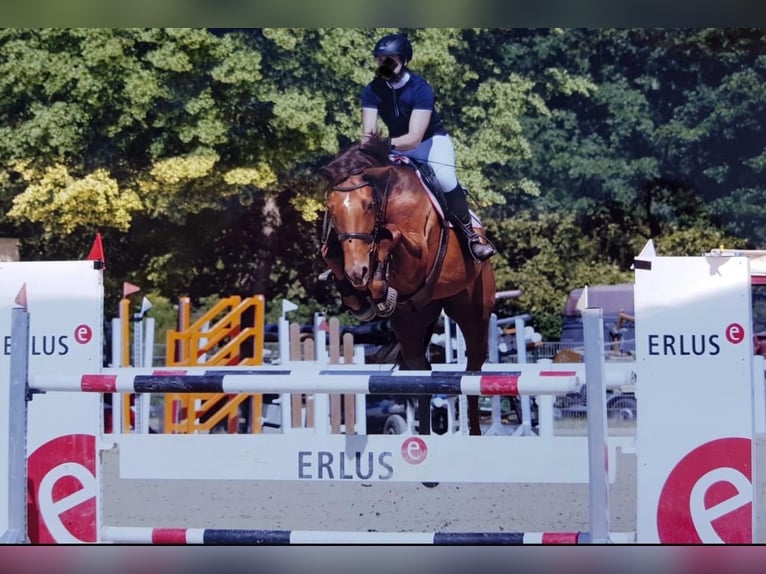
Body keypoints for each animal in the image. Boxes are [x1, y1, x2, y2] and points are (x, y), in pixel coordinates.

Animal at [318, 134, 498, 436]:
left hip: (473, 313)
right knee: (420, 375)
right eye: (332, 208)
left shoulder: (419, 255)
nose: (357, 272)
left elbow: (393, 236)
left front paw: (379, 286)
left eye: (368, 205)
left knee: (473, 370)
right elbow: (328, 251)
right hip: (412, 321)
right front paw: (360, 297)